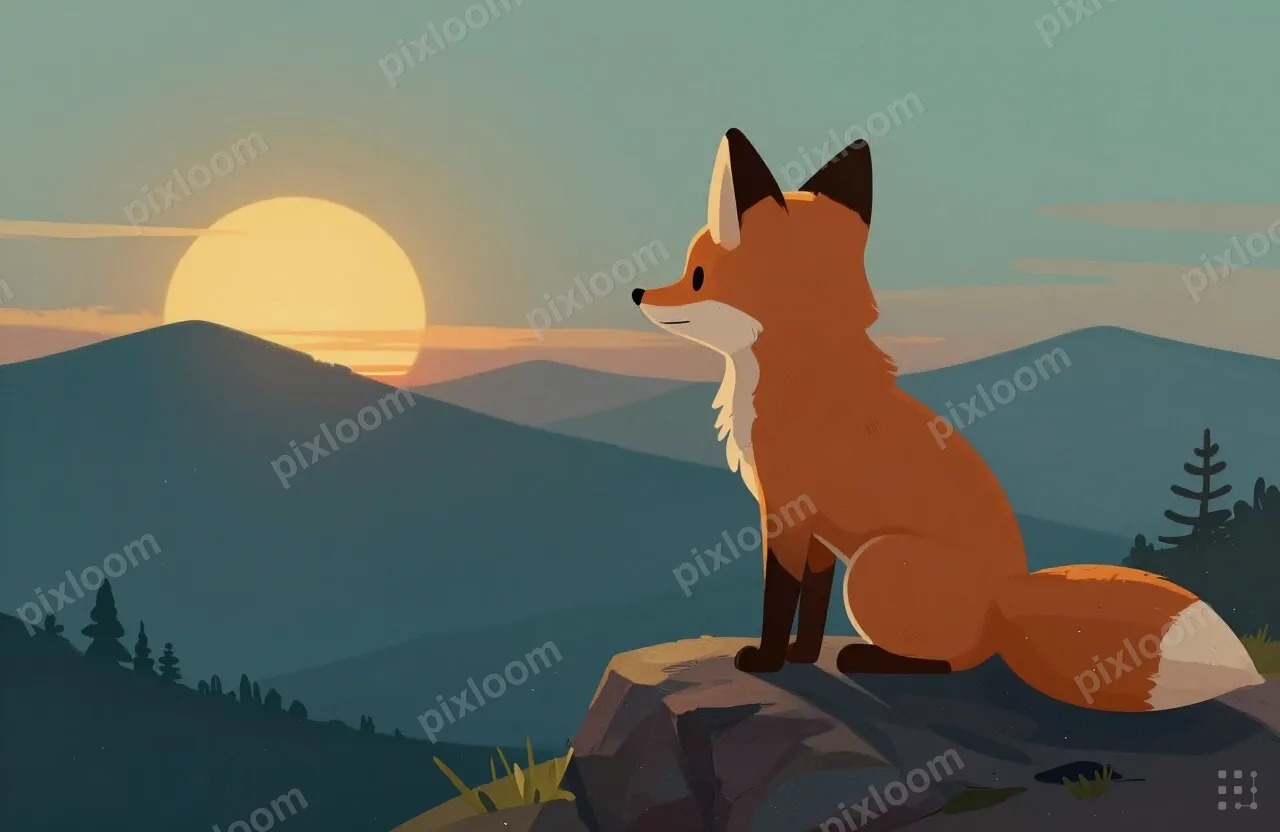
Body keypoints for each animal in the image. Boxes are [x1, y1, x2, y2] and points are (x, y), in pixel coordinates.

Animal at [631, 128, 1266, 711]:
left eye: (696, 275)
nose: (637, 293)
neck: (808, 370)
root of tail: (1006, 598)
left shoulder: (786, 513)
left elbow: (779, 600)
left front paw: (766, 660)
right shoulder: (816, 530)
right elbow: (810, 604)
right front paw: (803, 656)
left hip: (873, 566)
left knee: (956, 661)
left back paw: (868, 657)